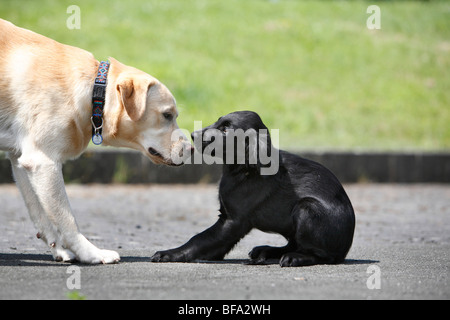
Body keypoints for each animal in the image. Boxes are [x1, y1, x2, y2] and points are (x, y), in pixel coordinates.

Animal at [151, 111, 356, 266]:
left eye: (226, 129)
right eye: (217, 121)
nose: (193, 135)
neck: (242, 170)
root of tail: (346, 247)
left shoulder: (233, 221)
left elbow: (199, 239)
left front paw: (170, 254)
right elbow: (211, 243)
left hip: (307, 208)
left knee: (321, 255)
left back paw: (294, 258)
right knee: (294, 244)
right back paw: (267, 251)